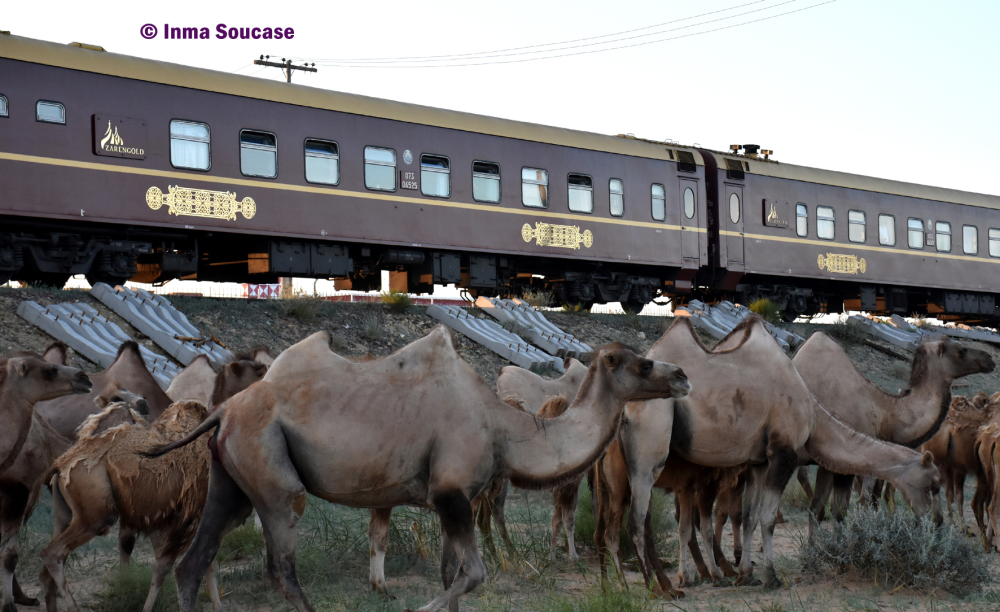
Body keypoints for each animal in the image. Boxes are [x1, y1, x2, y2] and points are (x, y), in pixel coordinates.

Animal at [38, 402, 222, 612]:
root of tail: (61, 466)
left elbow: (208, 565)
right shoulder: (184, 521)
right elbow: (165, 569)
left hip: (65, 516)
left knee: (47, 572)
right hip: (97, 517)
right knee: (51, 553)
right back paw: (74, 607)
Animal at [148, 326, 692, 612]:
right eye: (643, 364)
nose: (683, 375)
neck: (503, 427)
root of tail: (223, 410)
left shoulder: (447, 499)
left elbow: (452, 574)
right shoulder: (452, 493)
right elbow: (473, 575)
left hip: (232, 477)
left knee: (193, 562)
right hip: (272, 471)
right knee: (281, 564)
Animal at [620, 316, 940, 588]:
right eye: (933, 485)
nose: (936, 523)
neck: (814, 414)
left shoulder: (758, 461)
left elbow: (749, 516)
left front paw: (746, 575)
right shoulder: (783, 452)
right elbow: (769, 517)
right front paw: (771, 576)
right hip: (651, 435)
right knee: (638, 519)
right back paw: (660, 587)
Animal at [788, 332, 992, 528]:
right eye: (962, 350)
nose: (990, 358)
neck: (886, 412)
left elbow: (827, 509)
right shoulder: (850, 459)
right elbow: (849, 506)